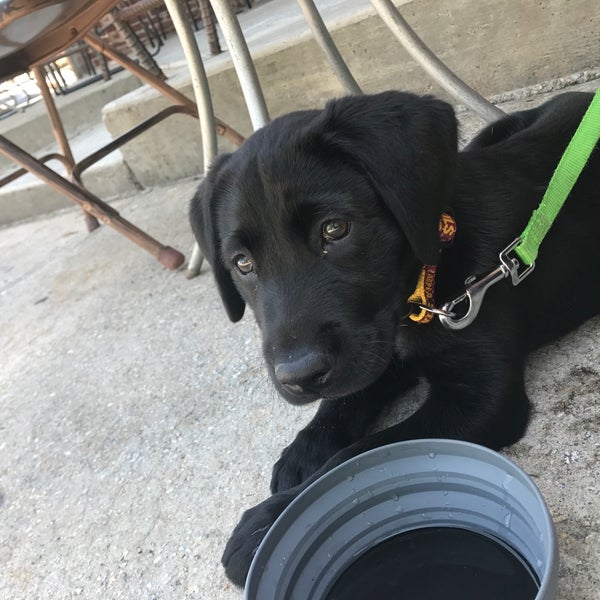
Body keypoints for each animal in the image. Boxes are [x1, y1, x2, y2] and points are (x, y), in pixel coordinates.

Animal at [191, 91, 600, 588]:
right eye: (243, 263)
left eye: (335, 229)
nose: (297, 377)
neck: (427, 279)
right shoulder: (375, 347)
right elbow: (349, 397)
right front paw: (305, 449)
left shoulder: (483, 395)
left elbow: (364, 453)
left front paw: (266, 524)